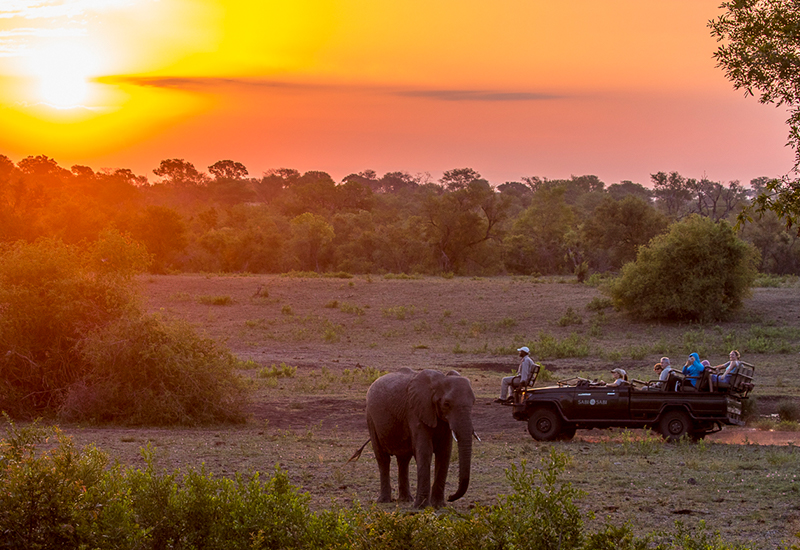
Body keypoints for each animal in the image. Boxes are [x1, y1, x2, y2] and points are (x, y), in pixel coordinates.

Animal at [360, 368, 476, 512]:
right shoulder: (415, 411)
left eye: (473, 402)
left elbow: (444, 453)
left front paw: (438, 505)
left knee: (403, 460)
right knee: (383, 459)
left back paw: (405, 500)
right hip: (370, 418)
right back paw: (384, 501)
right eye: (447, 404)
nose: (450, 497)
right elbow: (425, 451)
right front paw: (421, 507)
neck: (438, 381)